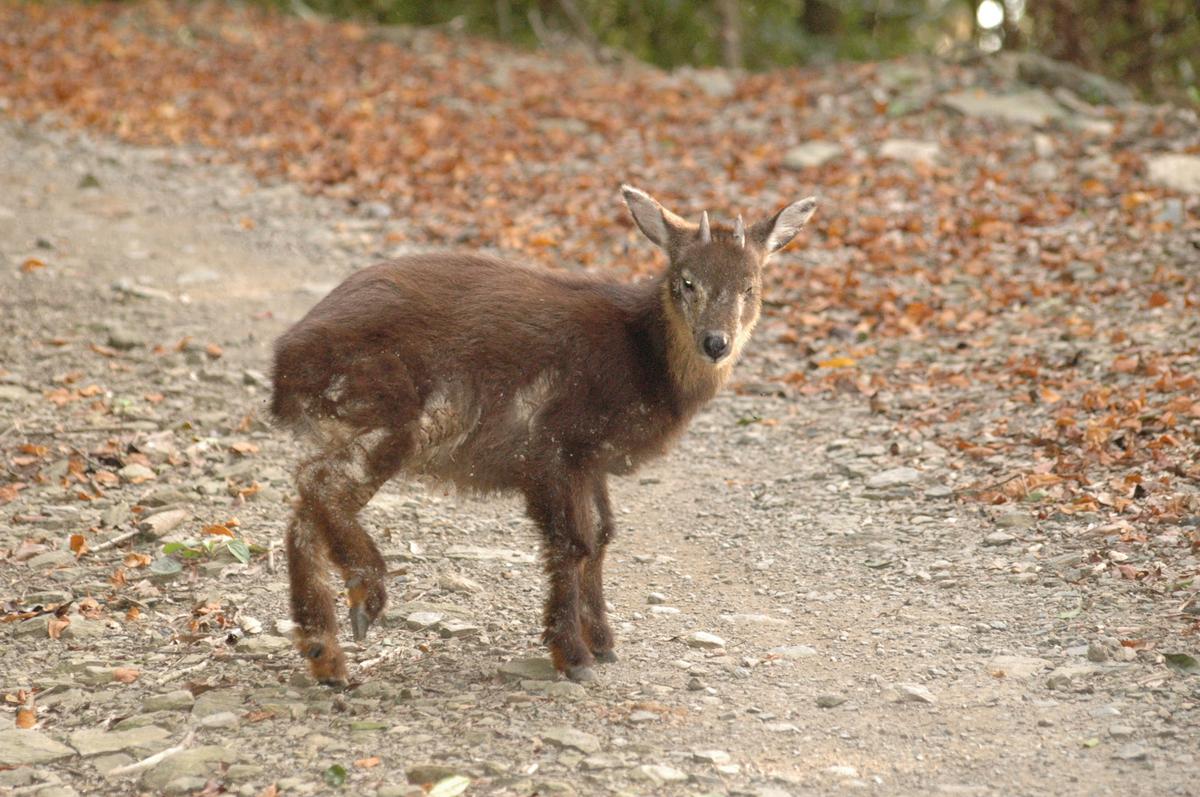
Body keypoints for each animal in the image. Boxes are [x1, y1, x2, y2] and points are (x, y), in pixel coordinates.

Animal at [270, 187, 816, 686]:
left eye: (751, 286)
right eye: (687, 281)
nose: (716, 342)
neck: (644, 361)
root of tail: (285, 363)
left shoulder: (591, 458)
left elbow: (602, 536)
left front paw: (604, 642)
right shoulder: (555, 440)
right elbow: (572, 542)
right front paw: (572, 655)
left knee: (305, 504)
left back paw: (325, 655)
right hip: (397, 408)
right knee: (319, 483)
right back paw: (367, 599)